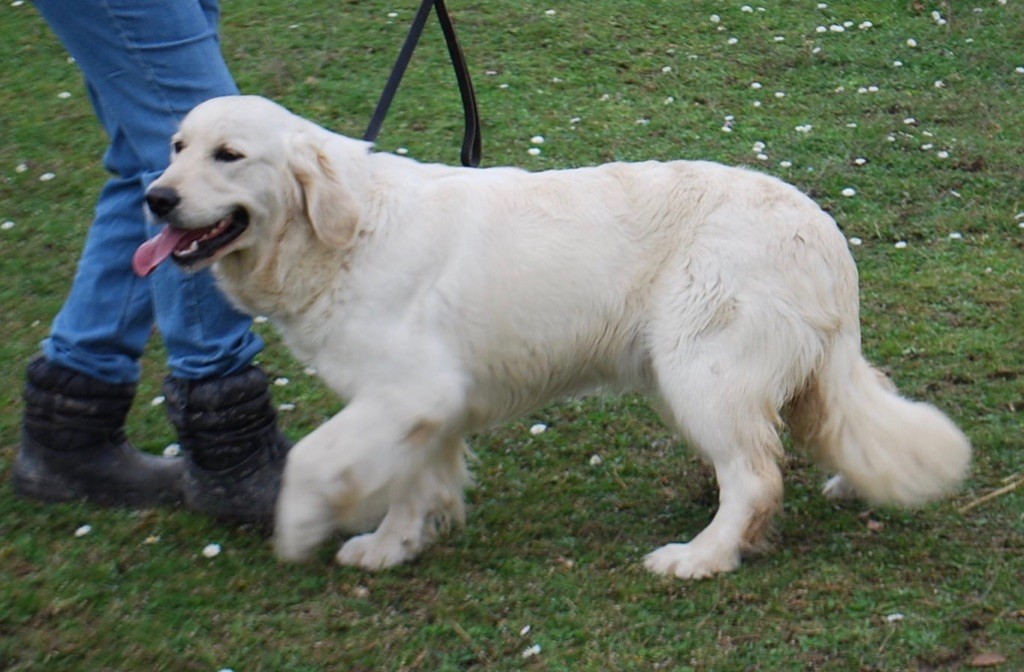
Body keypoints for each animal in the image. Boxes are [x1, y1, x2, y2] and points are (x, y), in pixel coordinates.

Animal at [134, 94, 966, 577]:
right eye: (176, 146)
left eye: (229, 155)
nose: (154, 198)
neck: (345, 229)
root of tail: (820, 225)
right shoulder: (423, 404)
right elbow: (414, 483)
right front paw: (394, 546)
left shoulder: (409, 389)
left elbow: (314, 458)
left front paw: (300, 524)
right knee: (824, 428)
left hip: (701, 370)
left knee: (757, 475)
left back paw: (701, 557)